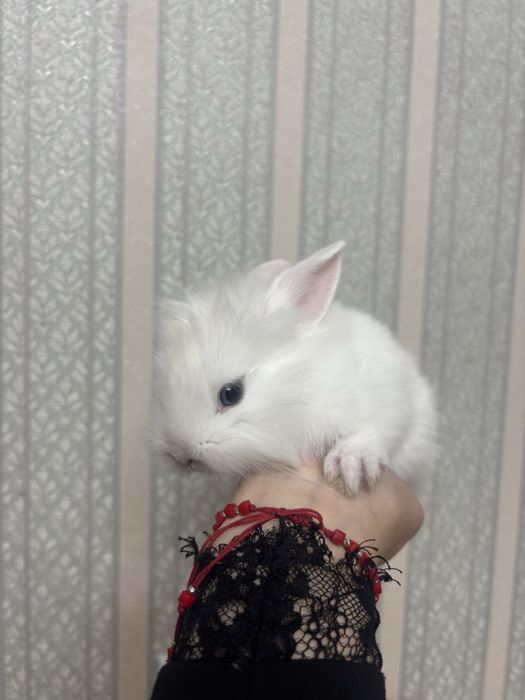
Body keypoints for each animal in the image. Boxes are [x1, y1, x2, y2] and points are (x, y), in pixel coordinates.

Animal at [147, 240, 437, 495]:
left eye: (231, 393)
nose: (181, 456)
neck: (301, 384)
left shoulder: (387, 401)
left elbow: (370, 432)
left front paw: (351, 464)